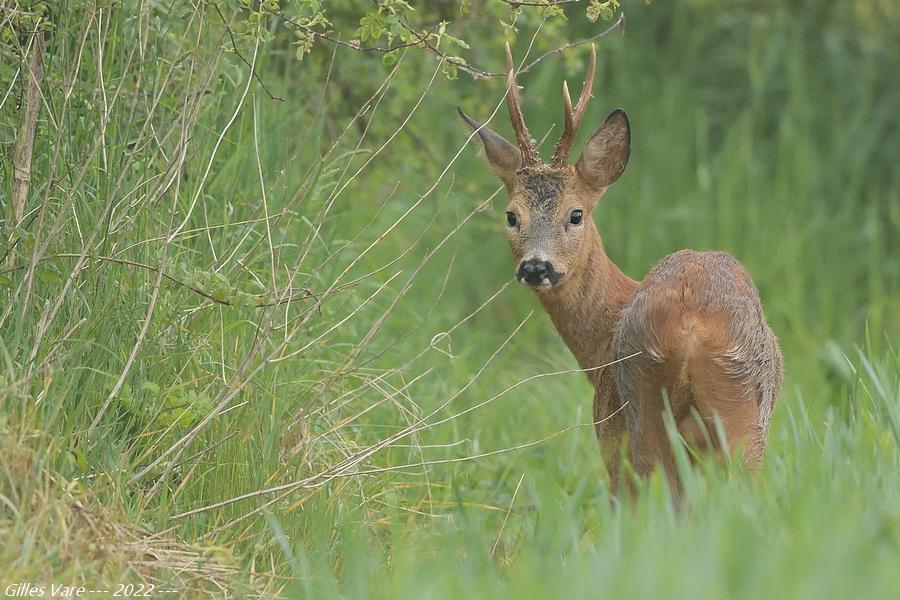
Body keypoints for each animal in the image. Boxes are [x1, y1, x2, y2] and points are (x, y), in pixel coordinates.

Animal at [458, 45, 780, 492]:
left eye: (575, 214)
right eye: (511, 215)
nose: (536, 267)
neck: (600, 338)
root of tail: (690, 329)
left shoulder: (608, 428)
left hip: (647, 415)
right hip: (731, 426)